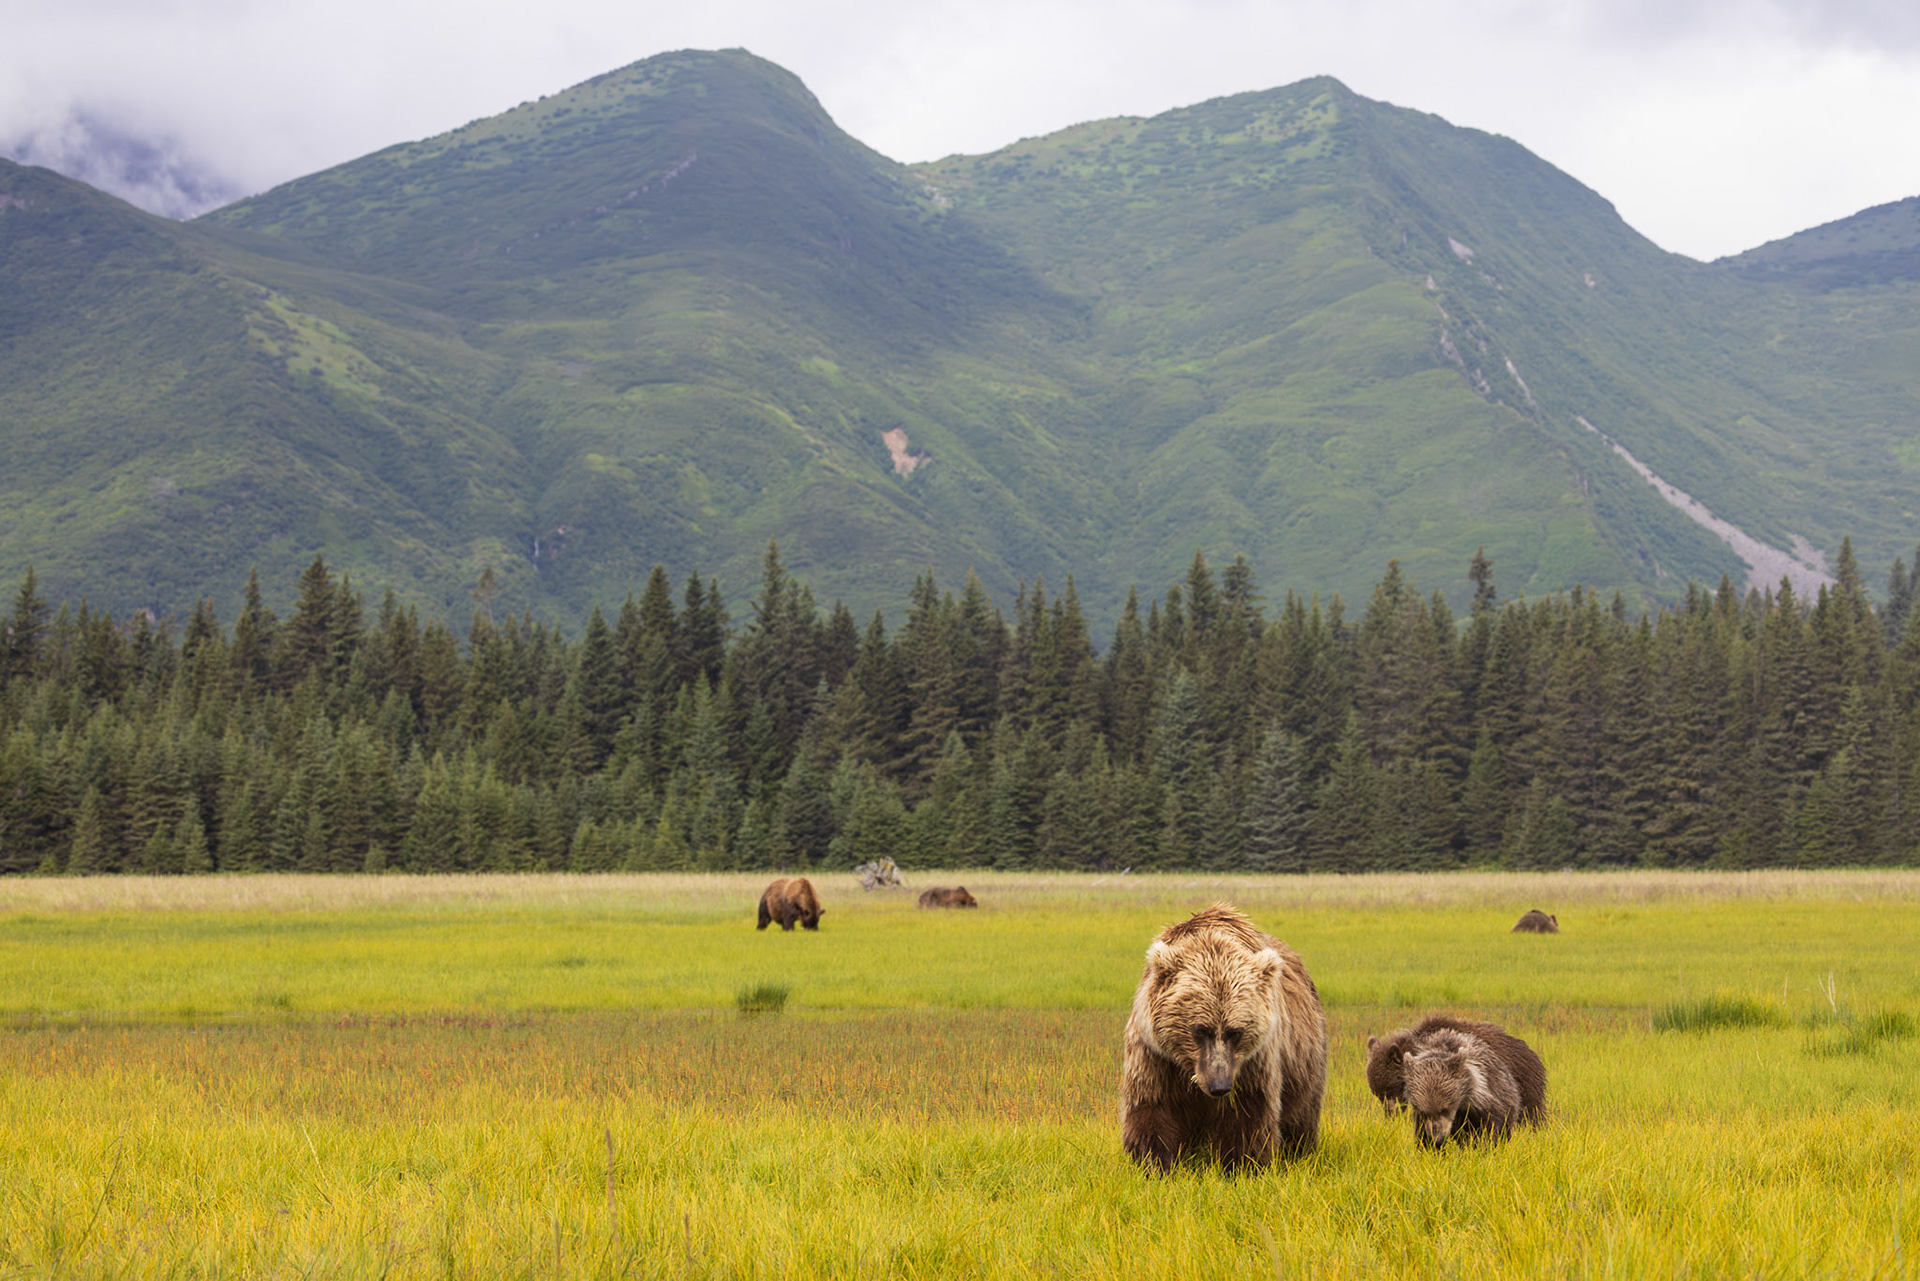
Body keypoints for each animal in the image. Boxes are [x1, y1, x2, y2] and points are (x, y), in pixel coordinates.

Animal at [1120, 904, 1328, 1172]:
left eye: (1235, 1032)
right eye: (1200, 1030)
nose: (1219, 1086)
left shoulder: (1252, 1063)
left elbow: (1248, 1115)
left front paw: (1240, 1166)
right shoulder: (1155, 1055)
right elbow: (1151, 1107)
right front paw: (1156, 1164)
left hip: (1305, 1058)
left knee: (1302, 1113)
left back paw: (1300, 1151)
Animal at [1402, 1026, 1542, 1147]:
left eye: (1445, 1109)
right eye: (1423, 1111)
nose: (1438, 1139)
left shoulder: (1483, 1104)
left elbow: (1489, 1129)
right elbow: (1422, 1134)